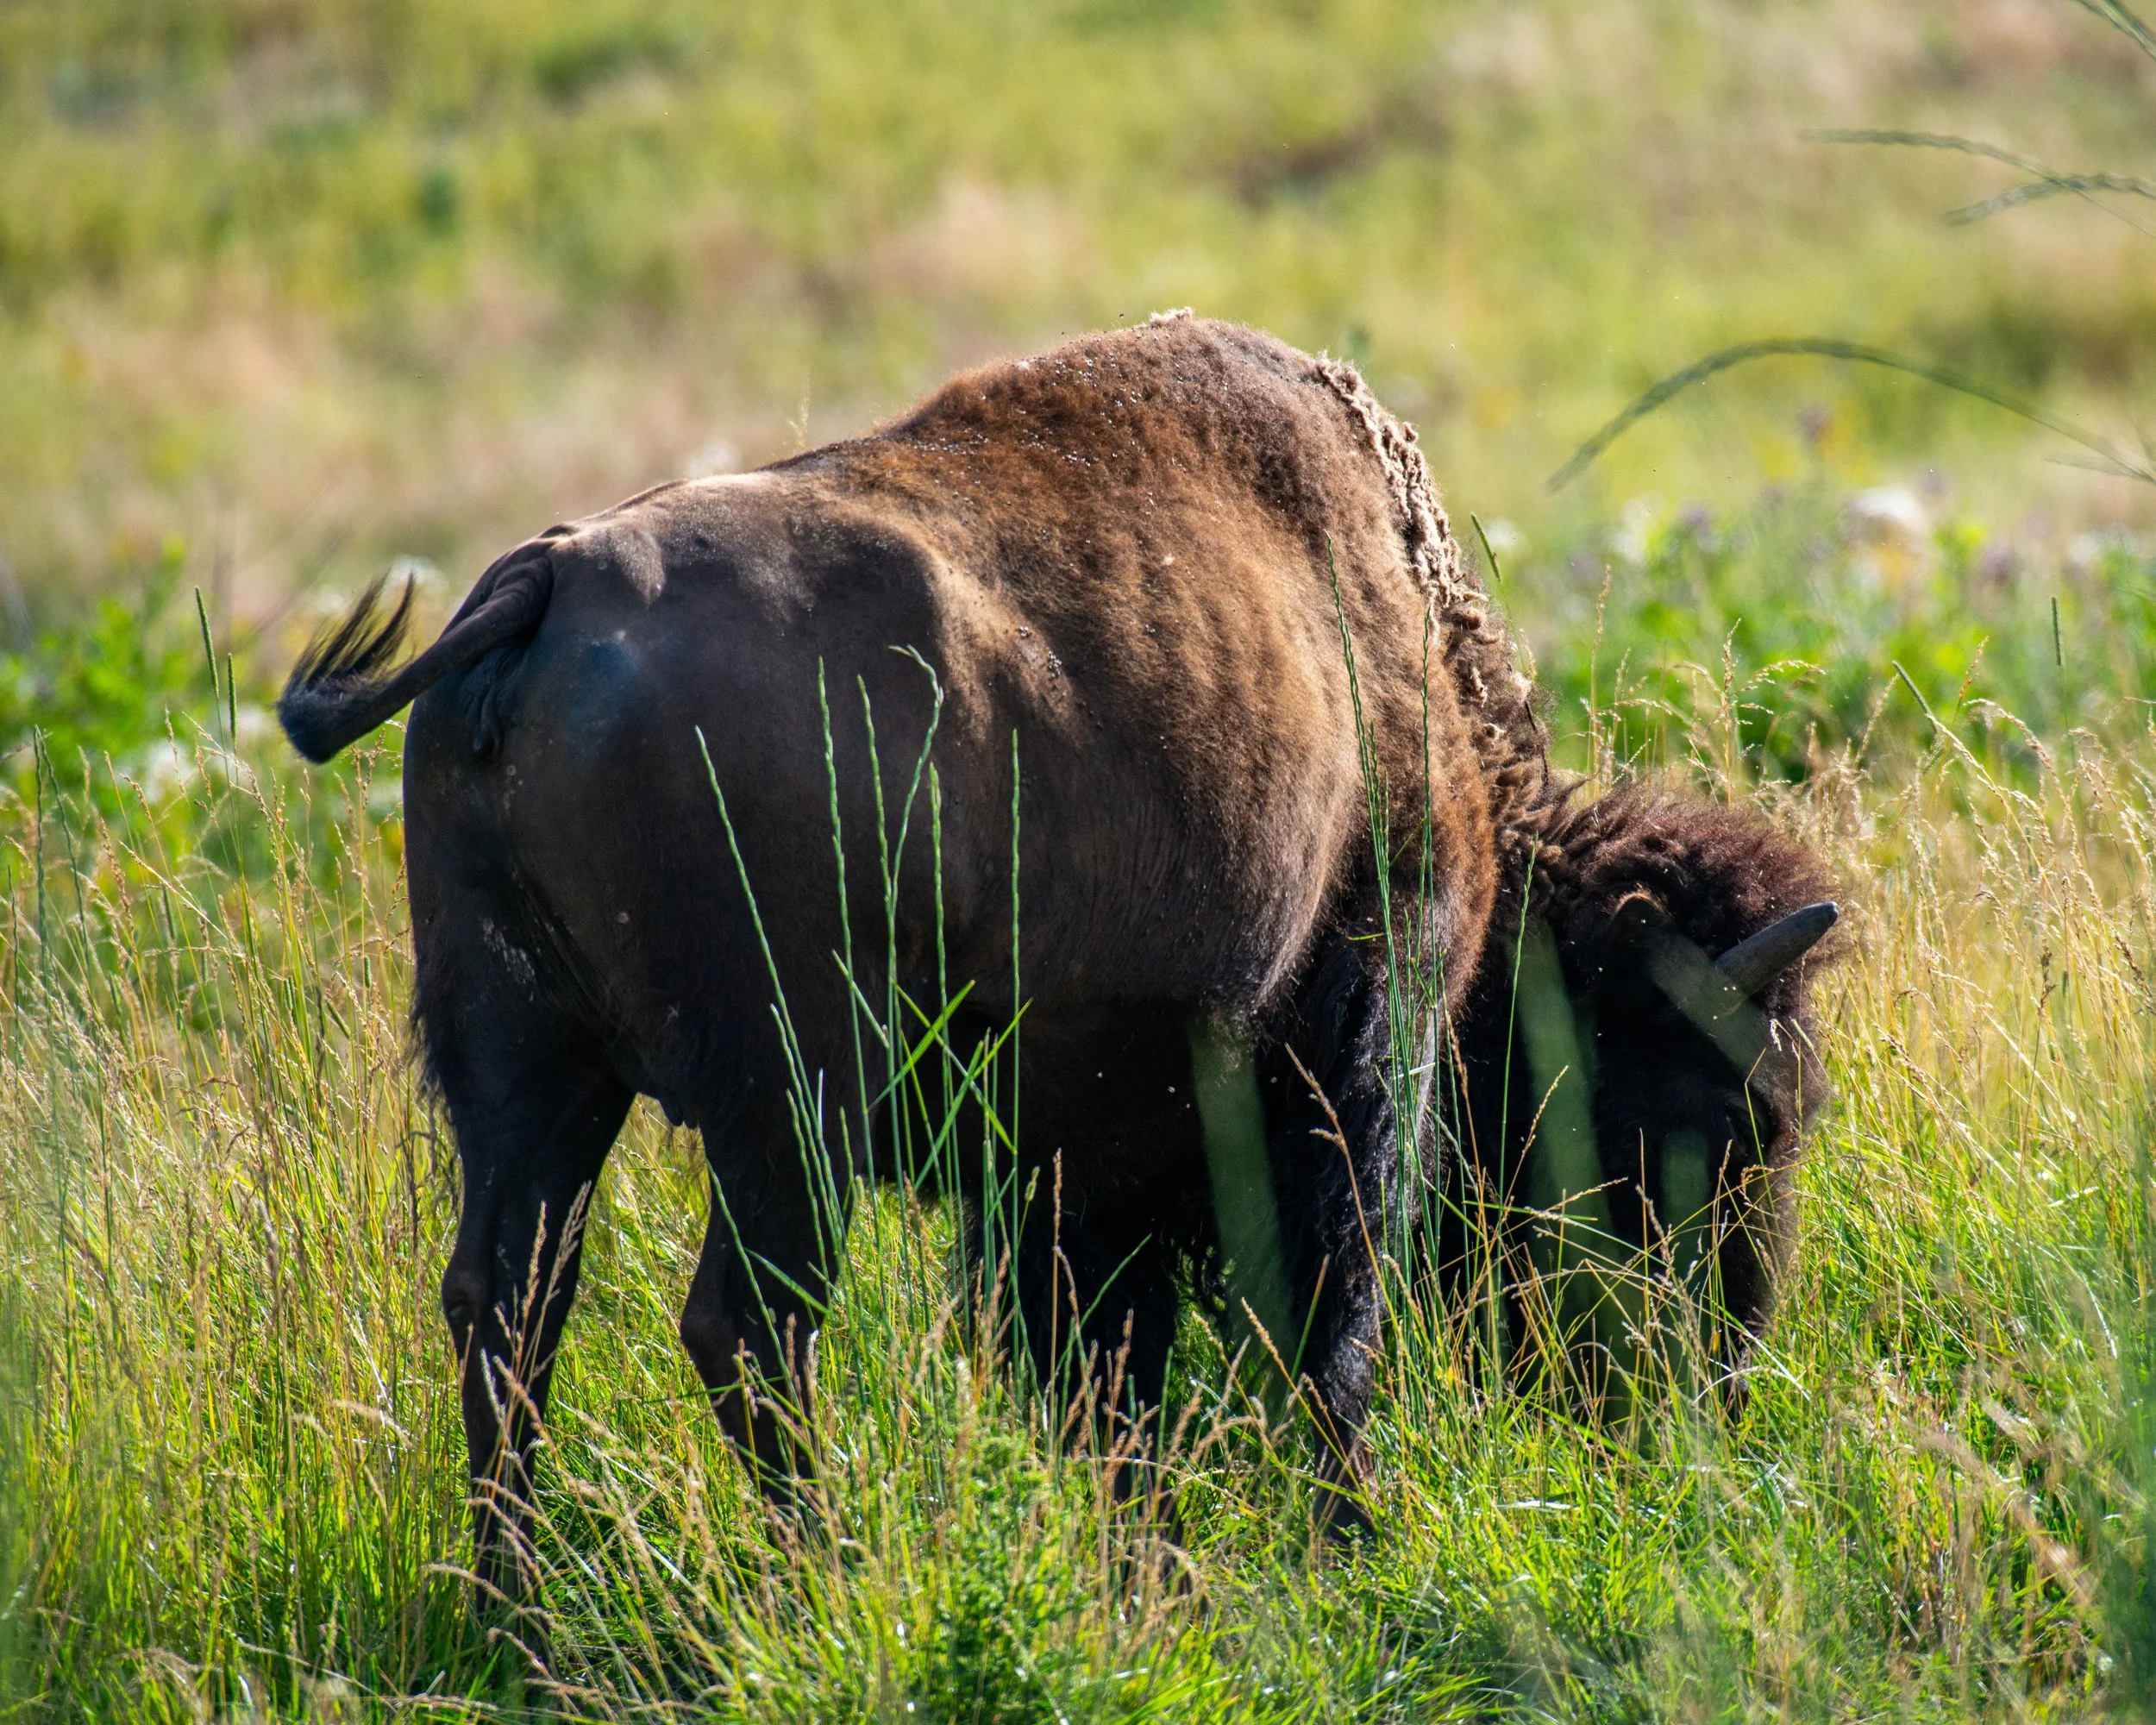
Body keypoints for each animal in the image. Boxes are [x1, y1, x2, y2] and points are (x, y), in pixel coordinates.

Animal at [280, 314, 1835, 1591]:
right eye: (1722, 1115)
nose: (1723, 1376)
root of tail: (541, 589)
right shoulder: (1342, 1055)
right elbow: (1318, 1322)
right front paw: (1341, 1539)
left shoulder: (1071, 1159)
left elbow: (1102, 1361)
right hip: (787, 1107)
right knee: (748, 1327)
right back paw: (822, 1579)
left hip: (527, 1076)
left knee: (507, 1311)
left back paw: (518, 1622)